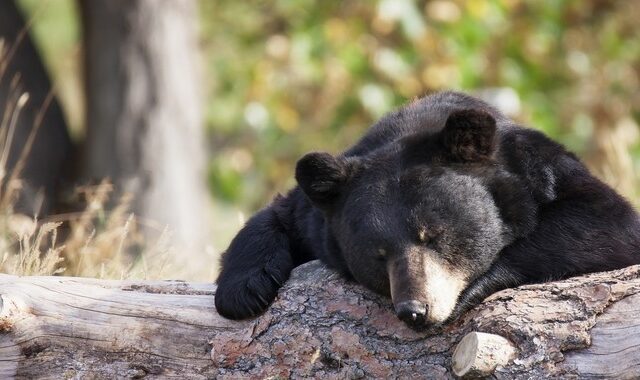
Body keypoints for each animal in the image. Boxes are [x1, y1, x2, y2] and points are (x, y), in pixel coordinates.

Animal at [214, 91, 640, 330]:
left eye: (433, 236)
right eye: (378, 254)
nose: (414, 310)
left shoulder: (541, 169)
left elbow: (606, 224)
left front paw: (474, 286)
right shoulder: (319, 213)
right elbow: (277, 215)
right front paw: (243, 292)